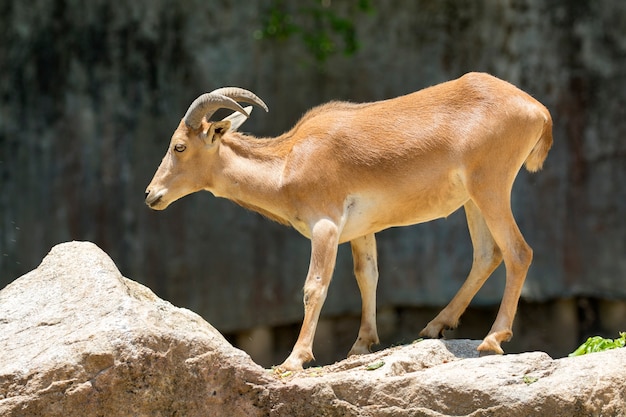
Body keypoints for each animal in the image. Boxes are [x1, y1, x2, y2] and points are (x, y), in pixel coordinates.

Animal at [145, 74, 552, 370]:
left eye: (179, 146)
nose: (151, 195)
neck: (290, 161)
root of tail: (538, 110)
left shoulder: (325, 226)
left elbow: (314, 287)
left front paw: (294, 360)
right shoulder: (361, 230)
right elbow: (366, 275)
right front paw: (361, 345)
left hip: (491, 186)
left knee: (519, 252)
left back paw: (492, 339)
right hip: (472, 199)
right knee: (487, 255)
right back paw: (436, 325)